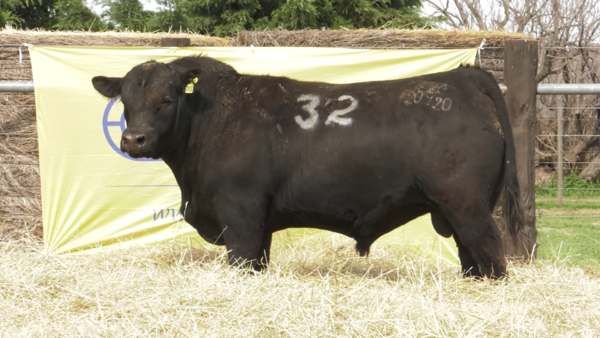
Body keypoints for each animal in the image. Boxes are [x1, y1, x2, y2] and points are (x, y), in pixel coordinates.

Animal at [91, 54, 524, 278]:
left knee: (492, 252)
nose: (133, 140)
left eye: (166, 100)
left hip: (466, 204)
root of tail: (463, 76)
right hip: (458, 210)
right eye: (125, 103)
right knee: (472, 256)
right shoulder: (259, 225)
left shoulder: (241, 215)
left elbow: (243, 260)